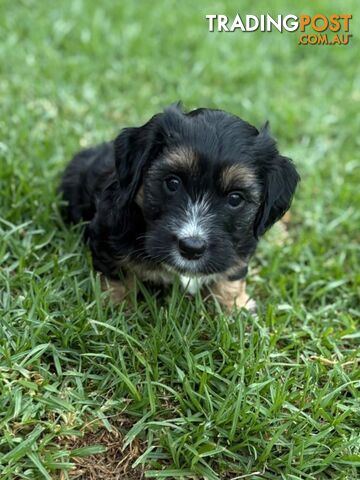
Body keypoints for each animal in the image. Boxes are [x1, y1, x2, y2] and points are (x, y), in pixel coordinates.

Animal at [59, 103, 300, 310]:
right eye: (172, 183)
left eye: (235, 198)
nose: (191, 248)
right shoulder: (107, 235)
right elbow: (116, 276)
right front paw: (115, 310)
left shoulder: (239, 245)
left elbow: (232, 275)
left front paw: (235, 307)